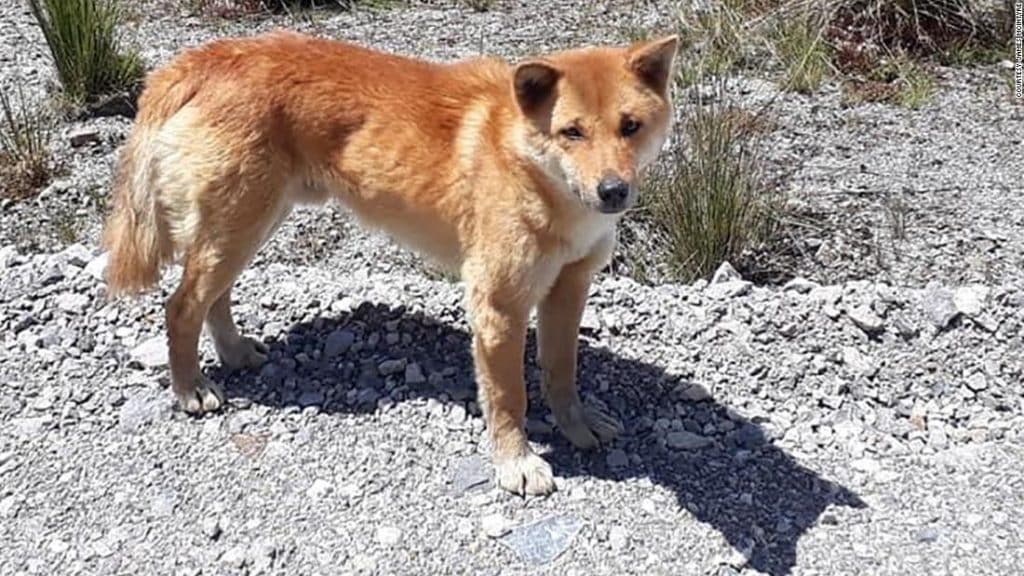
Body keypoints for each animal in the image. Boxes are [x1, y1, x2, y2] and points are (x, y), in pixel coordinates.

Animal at [103, 30, 675, 494]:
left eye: (630, 126)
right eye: (571, 132)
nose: (613, 192)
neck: (532, 171)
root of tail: (208, 56)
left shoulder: (568, 290)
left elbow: (561, 372)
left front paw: (577, 427)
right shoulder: (498, 305)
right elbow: (509, 397)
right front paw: (516, 463)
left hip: (247, 227)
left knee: (213, 299)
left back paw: (235, 352)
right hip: (237, 229)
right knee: (181, 307)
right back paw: (191, 388)